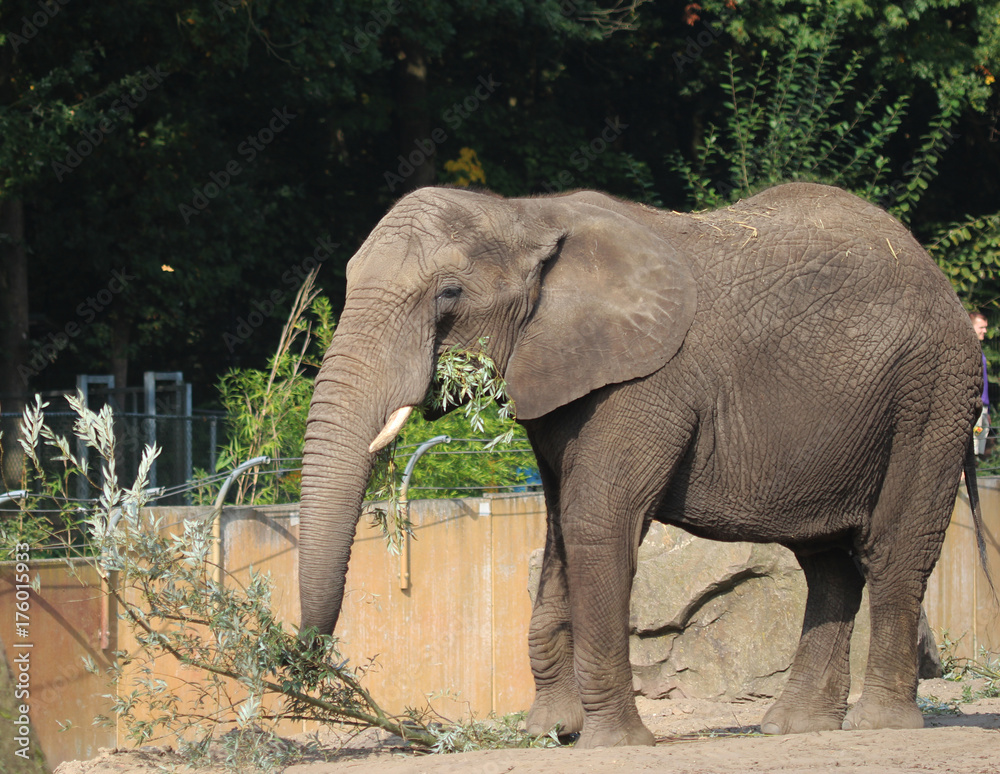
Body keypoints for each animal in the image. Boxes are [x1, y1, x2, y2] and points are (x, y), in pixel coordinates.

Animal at [298, 181, 982, 748]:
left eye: (448, 294)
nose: (304, 661)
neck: (525, 212)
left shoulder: (647, 380)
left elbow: (596, 523)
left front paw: (613, 744)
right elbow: (560, 532)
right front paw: (550, 733)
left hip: (932, 394)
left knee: (893, 549)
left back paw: (881, 725)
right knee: (828, 562)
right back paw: (795, 728)